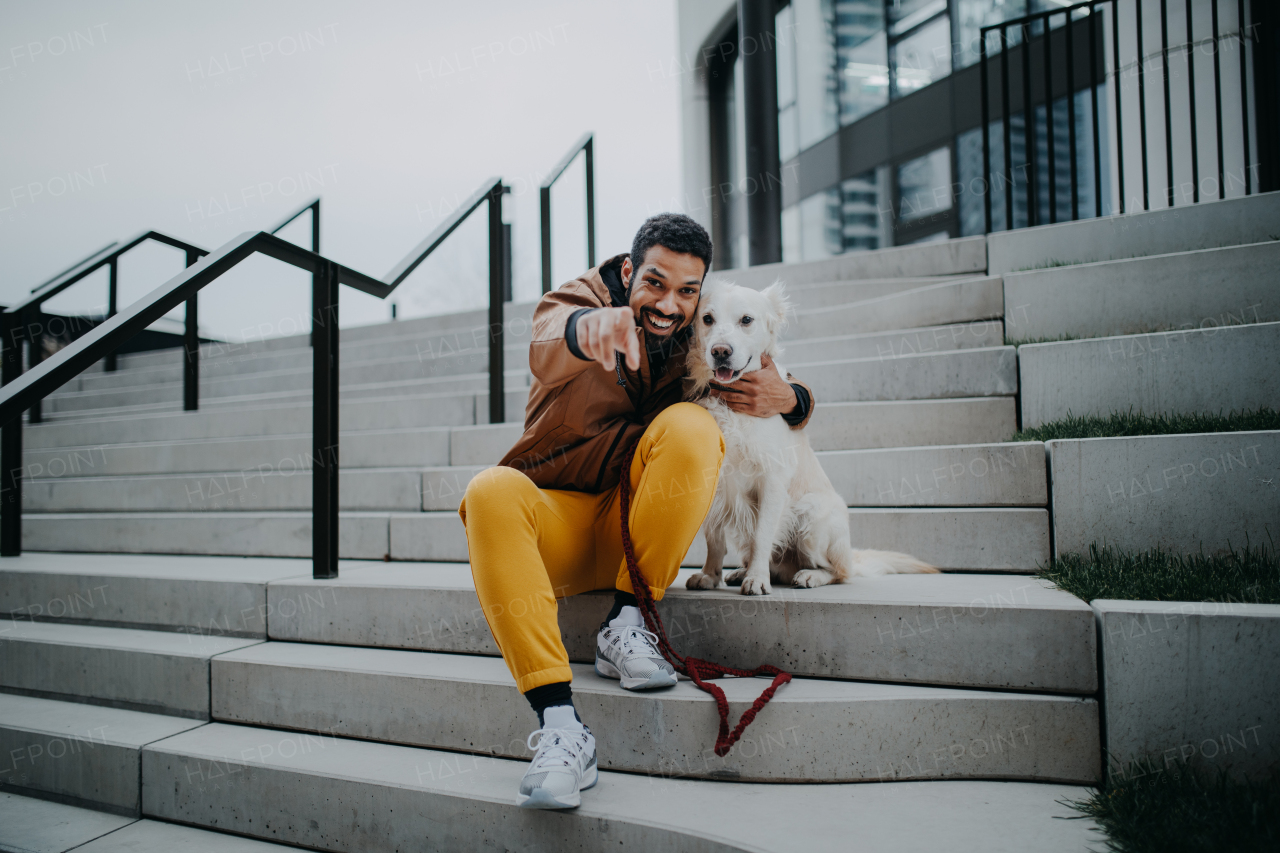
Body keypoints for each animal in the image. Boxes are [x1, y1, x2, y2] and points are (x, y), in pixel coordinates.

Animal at [686, 281, 936, 594]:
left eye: (746, 320)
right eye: (707, 319)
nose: (720, 351)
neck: (731, 402)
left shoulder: (773, 479)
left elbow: (762, 537)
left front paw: (756, 579)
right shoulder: (714, 480)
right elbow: (714, 538)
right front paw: (710, 575)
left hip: (812, 515)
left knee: (838, 571)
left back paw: (807, 576)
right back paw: (741, 572)